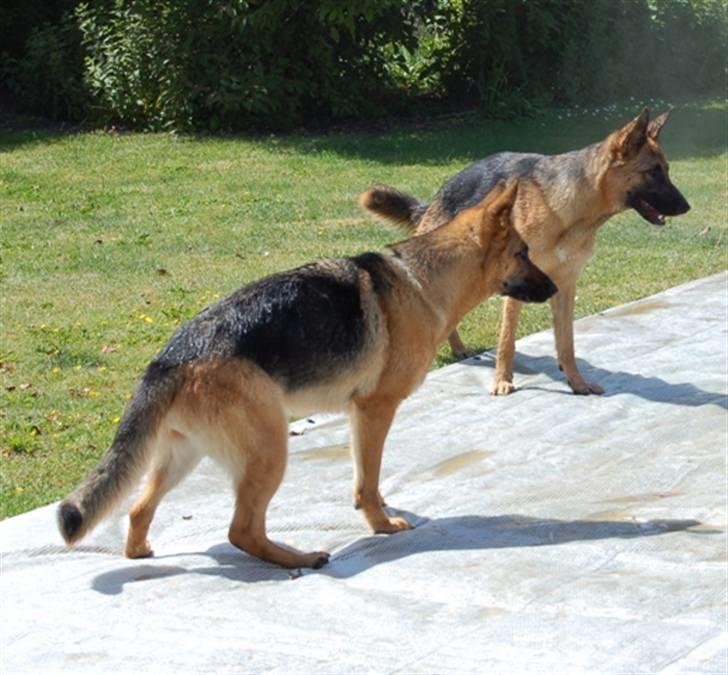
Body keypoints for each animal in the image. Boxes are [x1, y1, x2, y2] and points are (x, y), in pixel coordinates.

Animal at [57, 181, 556, 572]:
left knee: (139, 509)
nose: (555, 288)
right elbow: (369, 481)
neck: (425, 279)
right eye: (523, 253)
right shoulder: (374, 411)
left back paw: (140, 551)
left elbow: (364, 478)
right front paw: (381, 524)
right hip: (269, 450)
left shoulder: (359, 416)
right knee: (241, 530)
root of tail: (170, 356)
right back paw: (299, 558)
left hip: (184, 456)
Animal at [362, 109, 692, 396]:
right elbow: (507, 341)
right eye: (652, 172)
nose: (687, 207)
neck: (572, 210)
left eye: (667, 170)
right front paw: (502, 382)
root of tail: (436, 198)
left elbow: (567, 343)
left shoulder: (565, 285)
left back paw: (458, 349)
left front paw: (577, 383)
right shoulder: (516, 285)